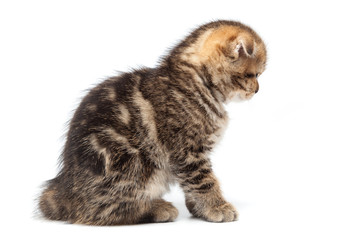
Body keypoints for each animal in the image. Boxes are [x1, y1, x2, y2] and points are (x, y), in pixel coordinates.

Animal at [38, 20, 268, 225]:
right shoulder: (187, 151)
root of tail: (65, 190)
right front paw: (216, 206)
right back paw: (156, 208)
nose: (257, 90)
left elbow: (192, 183)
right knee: (100, 211)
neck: (196, 82)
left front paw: (198, 209)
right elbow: (203, 181)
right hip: (132, 163)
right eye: (252, 75)